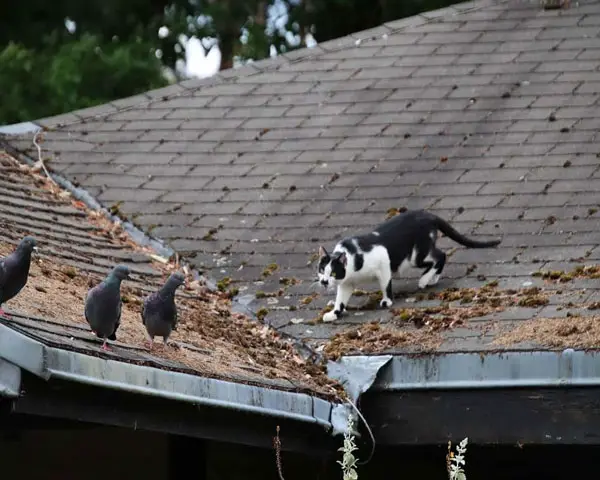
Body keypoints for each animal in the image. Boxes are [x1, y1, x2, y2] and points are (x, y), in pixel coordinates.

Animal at [318, 209, 502, 322]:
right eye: (321, 270)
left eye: (333, 273)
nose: (324, 282)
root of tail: (427, 214)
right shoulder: (346, 283)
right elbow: (340, 300)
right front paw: (334, 313)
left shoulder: (383, 262)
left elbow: (385, 284)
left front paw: (387, 301)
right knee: (439, 257)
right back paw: (433, 279)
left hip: (416, 256)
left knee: (440, 255)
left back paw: (424, 280)